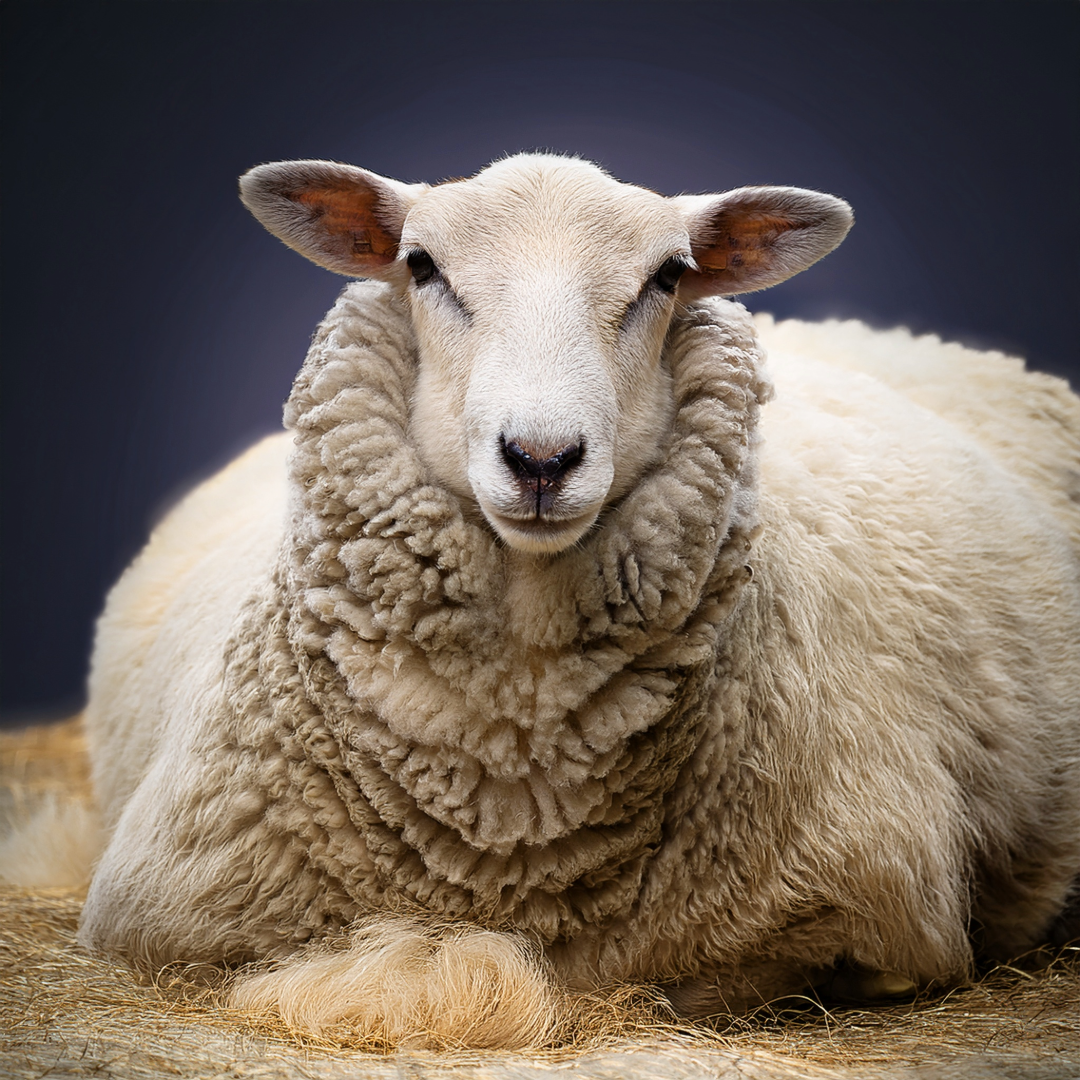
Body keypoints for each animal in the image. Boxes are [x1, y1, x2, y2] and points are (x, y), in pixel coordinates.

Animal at [76, 153, 1080, 1049]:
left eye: (667, 276)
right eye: (422, 265)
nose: (542, 458)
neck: (512, 776)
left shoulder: (859, 919)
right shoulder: (173, 918)